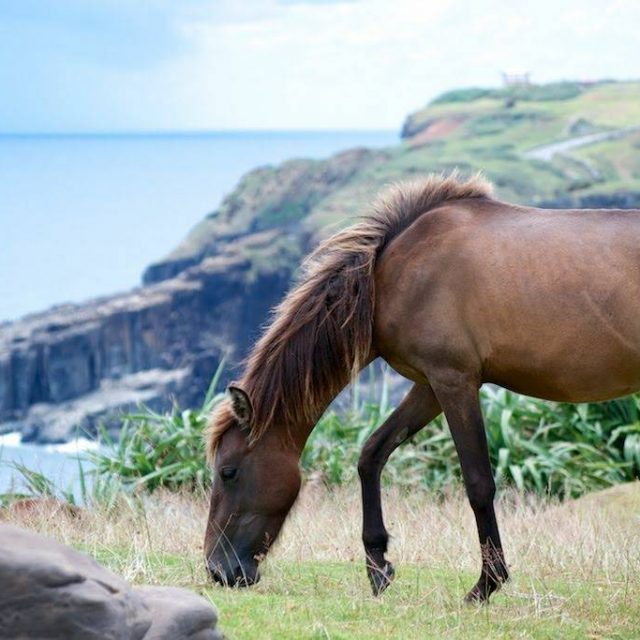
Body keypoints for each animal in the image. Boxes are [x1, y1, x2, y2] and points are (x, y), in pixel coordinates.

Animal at [204, 172, 640, 604]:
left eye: (228, 472)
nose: (218, 571)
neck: (392, 275)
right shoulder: (428, 386)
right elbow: (371, 454)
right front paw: (378, 566)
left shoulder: (454, 381)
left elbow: (478, 484)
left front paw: (486, 584)